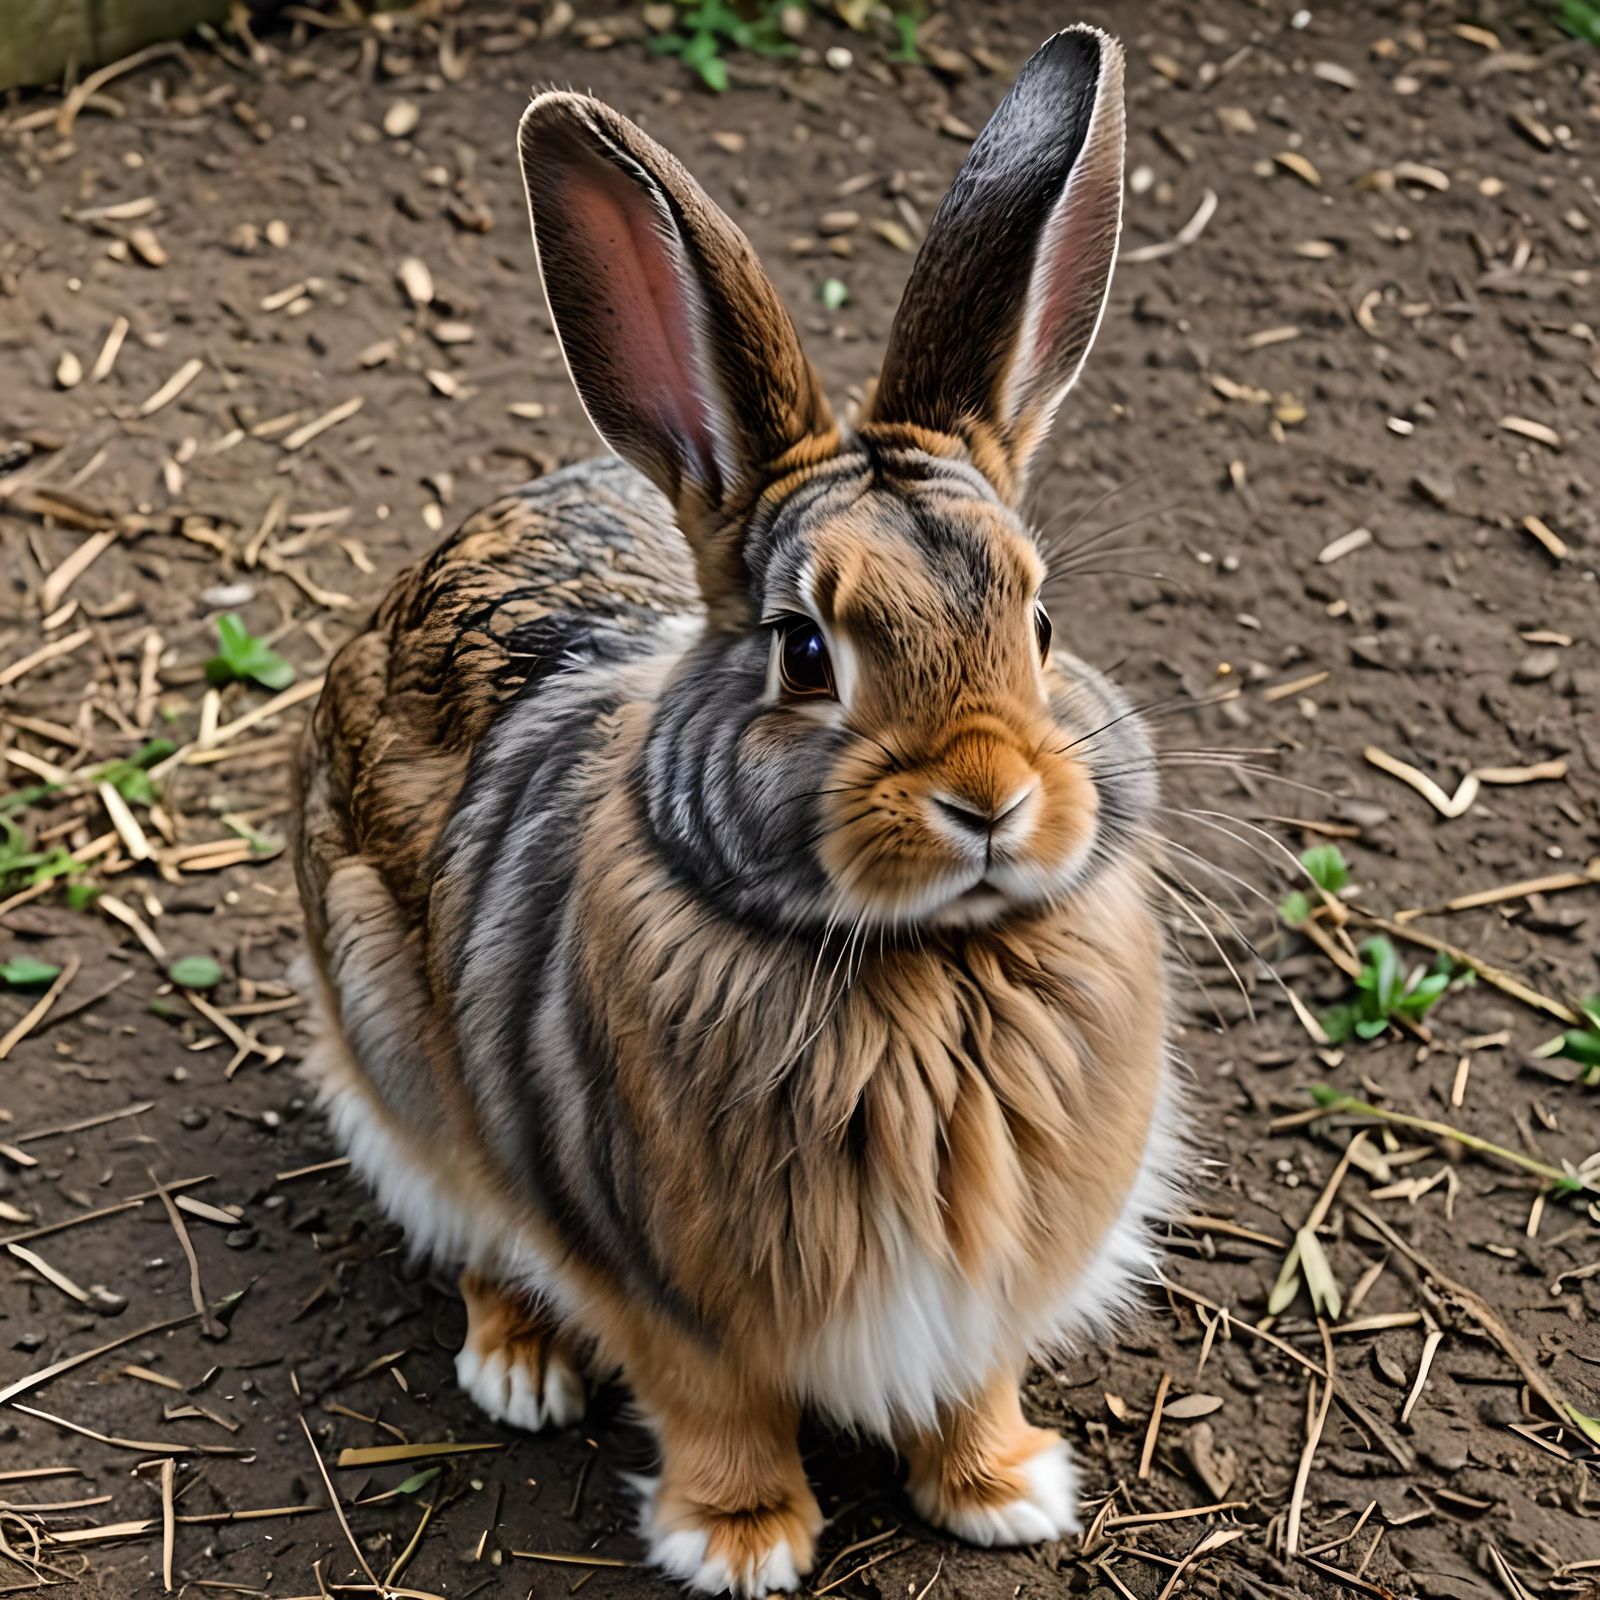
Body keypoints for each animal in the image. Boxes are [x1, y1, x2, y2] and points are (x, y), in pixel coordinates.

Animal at [293, 23, 1182, 1597]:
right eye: (805, 651)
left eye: (1042, 623)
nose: (991, 798)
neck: (925, 968)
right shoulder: (662, 1284)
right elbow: (710, 1403)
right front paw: (740, 1541)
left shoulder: (987, 1289)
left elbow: (972, 1384)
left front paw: (1004, 1489)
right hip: (394, 1044)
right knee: (472, 1232)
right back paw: (520, 1368)